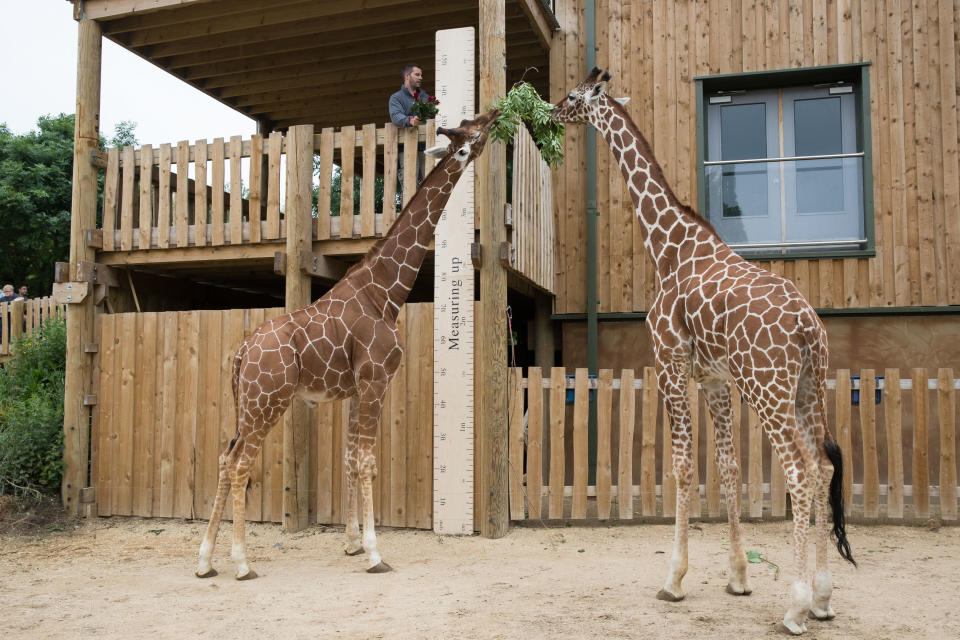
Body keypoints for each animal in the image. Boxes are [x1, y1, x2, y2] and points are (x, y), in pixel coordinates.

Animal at [191, 109, 498, 580]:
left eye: (471, 122)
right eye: (471, 136)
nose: (497, 114)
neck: (385, 293)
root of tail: (241, 355)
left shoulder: (356, 389)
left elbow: (352, 460)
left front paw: (352, 543)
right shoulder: (376, 381)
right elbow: (368, 462)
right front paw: (374, 553)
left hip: (245, 406)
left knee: (226, 460)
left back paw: (205, 561)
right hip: (267, 402)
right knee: (241, 463)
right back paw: (241, 563)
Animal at [552, 70, 860, 636]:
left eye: (573, 97)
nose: (549, 109)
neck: (667, 248)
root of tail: (808, 325)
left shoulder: (670, 364)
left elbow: (680, 466)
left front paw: (674, 579)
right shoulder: (715, 378)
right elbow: (728, 466)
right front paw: (738, 577)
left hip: (767, 387)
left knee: (800, 470)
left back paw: (796, 605)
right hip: (809, 387)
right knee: (824, 467)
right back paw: (824, 597)